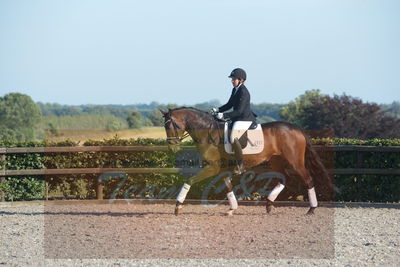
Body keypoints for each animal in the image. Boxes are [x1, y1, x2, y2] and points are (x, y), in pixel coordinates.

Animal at [161, 108, 332, 217]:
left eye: (170, 125)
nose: (171, 148)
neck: (208, 132)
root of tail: (297, 129)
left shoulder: (212, 167)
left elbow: (189, 180)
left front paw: (177, 206)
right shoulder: (222, 169)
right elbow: (228, 187)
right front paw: (232, 209)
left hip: (295, 161)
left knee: (308, 179)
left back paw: (311, 209)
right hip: (276, 161)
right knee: (284, 178)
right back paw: (269, 204)